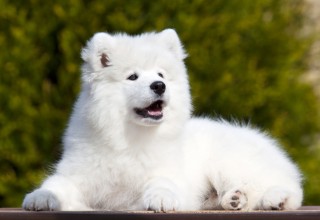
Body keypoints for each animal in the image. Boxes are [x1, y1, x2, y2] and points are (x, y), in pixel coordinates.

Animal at [22, 28, 302, 211]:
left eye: (161, 75)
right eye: (133, 77)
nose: (159, 86)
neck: (129, 138)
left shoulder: (168, 172)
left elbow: (162, 183)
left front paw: (161, 198)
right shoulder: (79, 172)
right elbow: (57, 183)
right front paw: (41, 197)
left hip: (228, 162)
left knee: (284, 187)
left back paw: (274, 198)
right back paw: (234, 199)